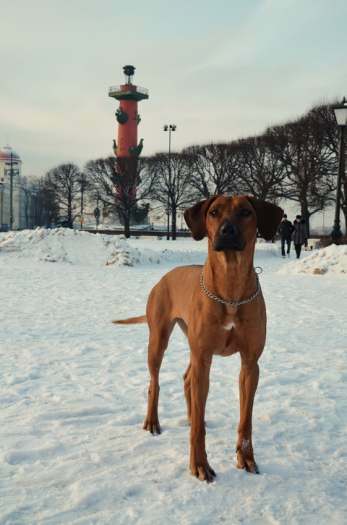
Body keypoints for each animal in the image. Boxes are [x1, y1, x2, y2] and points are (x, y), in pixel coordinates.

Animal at [114, 194, 282, 482]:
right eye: (214, 212)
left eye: (246, 212)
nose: (227, 231)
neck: (230, 288)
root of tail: (165, 277)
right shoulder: (204, 358)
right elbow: (198, 431)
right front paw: (200, 465)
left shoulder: (250, 364)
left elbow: (245, 420)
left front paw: (246, 458)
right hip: (159, 340)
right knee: (155, 383)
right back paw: (153, 421)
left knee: (186, 379)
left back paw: (194, 416)